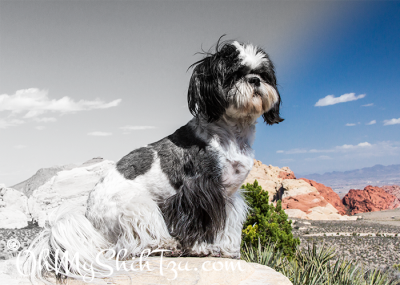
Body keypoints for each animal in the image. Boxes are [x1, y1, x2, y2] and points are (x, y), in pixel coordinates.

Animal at [25, 38, 282, 280]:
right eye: (234, 74)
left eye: (263, 74)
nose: (254, 81)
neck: (232, 133)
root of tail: (89, 220)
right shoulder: (198, 191)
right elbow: (198, 223)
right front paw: (200, 248)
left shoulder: (229, 195)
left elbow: (228, 224)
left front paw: (227, 249)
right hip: (138, 205)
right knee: (126, 246)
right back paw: (164, 245)